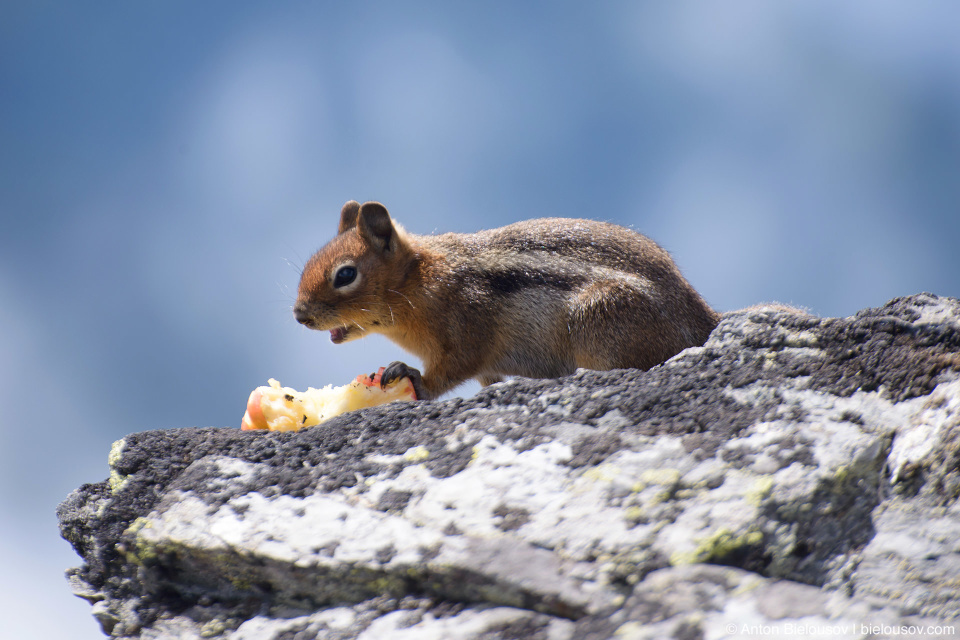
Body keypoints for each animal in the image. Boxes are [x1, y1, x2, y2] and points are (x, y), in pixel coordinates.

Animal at [292, 200, 720, 400]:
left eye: (345, 275)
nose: (299, 315)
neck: (419, 281)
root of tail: (705, 317)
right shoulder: (485, 366)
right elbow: (488, 380)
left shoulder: (468, 330)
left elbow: (445, 374)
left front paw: (410, 376)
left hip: (598, 318)